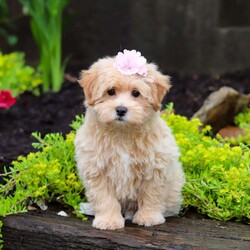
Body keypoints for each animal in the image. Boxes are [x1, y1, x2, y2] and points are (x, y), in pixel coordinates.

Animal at [73, 49, 185, 229]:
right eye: (111, 91)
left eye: (136, 93)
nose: (121, 110)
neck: (122, 133)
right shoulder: (96, 169)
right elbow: (104, 198)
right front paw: (109, 220)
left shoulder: (155, 168)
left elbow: (151, 195)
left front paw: (148, 217)